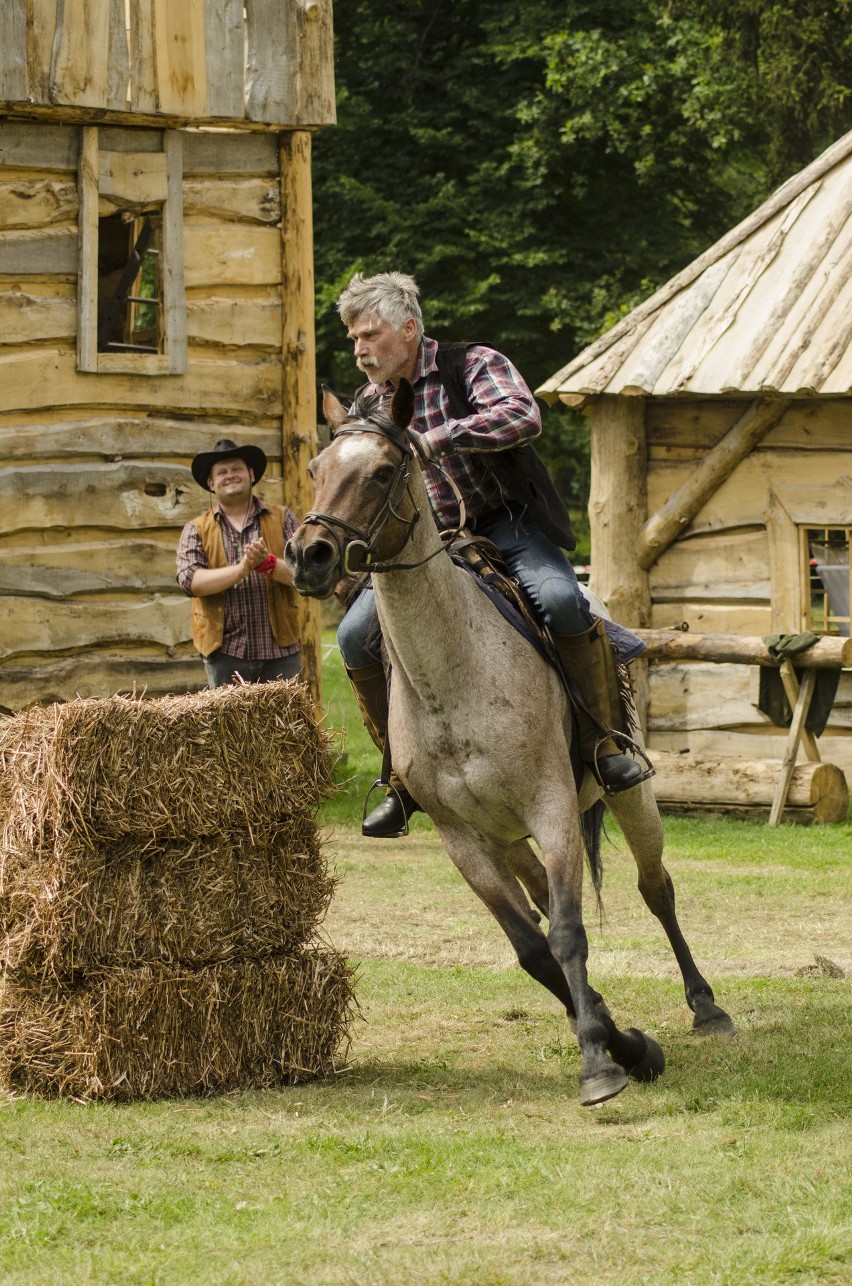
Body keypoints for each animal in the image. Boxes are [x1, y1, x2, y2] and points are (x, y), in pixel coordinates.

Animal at [287, 378, 735, 1105]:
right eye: (316, 468)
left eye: (383, 471)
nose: (310, 555)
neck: (454, 676)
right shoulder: (464, 840)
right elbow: (534, 949)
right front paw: (621, 1040)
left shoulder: (551, 809)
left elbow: (570, 935)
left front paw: (602, 1063)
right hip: (510, 841)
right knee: (553, 911)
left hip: (627, 797)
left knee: (656, 888)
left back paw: (706, 1005)